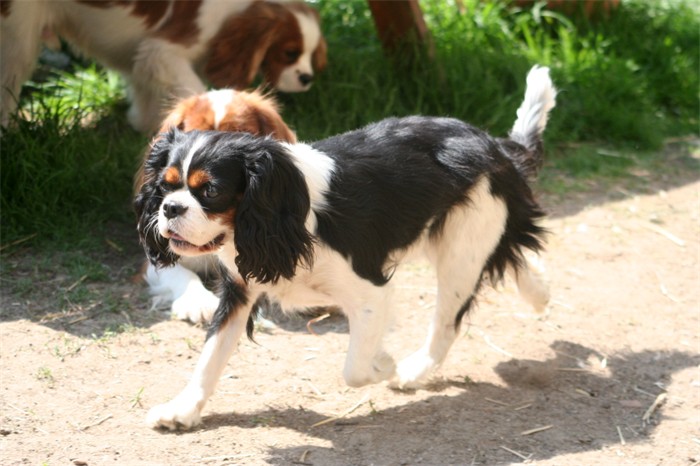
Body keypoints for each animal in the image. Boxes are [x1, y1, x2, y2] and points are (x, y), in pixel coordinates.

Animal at [0, 0, 328, 131]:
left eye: (311, 54)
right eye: (289, 53)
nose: (307, 78)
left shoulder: (143, 58)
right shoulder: (162, 52)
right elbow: (194, 89)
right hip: (16, 41)